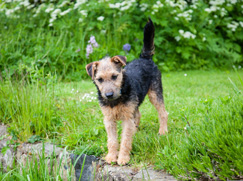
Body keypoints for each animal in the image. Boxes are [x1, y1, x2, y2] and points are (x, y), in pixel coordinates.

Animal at [85, 18, 167, 165]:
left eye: (114, 76)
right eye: (99, 79)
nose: (109, 95)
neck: (117, 99)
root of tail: (145, 57)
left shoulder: (127, 118)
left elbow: (125, 140)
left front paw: (123, 158)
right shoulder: (109, 119)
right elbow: (112, 141)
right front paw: (111, 157)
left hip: (155, 93)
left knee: (163, 113)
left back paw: (163, 131)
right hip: (136, 103)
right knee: (138, 115)